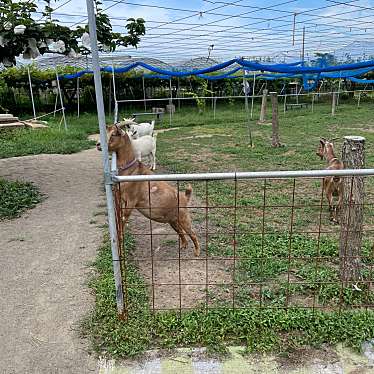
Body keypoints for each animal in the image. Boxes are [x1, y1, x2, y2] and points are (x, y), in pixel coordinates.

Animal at [98, 125, 200, 258]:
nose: (98, 144)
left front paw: (120, 235)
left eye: (114, 134)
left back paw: (197, 252)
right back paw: (183, 246)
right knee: (181, 232)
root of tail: (185, 198)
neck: (131, 169)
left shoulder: (131, 201)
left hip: (183, 217)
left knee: (192, 233)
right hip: (173, 220)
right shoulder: (122, 198)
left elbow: (124, 218)